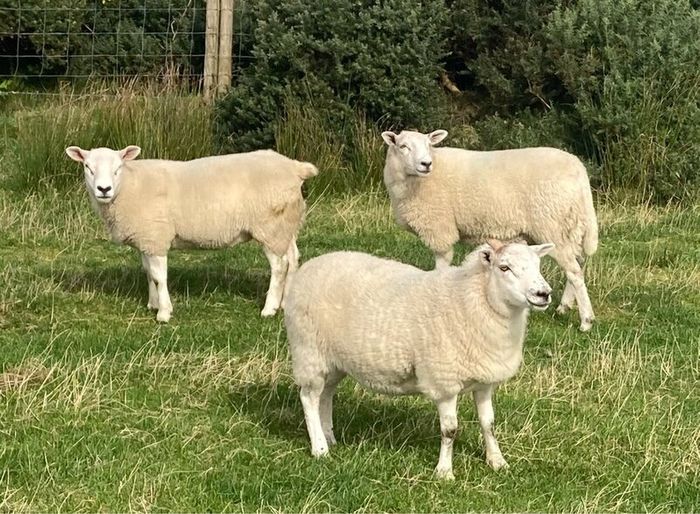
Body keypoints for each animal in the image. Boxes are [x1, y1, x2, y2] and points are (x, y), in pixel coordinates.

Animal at [65, 145, 317, 322]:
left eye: (117, 169)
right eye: (88, 167)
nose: (103, 189)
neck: (130, 184)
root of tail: (295, 168)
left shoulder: (156, 236)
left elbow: (159, 276)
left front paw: (164, 313)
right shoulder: (147, 238)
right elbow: (148, 272)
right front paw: (152, 304)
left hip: (270, 225)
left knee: (279, 266)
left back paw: (269, 308)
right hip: (286, 224)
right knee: (293, 258)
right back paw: (286, 303)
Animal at [284, 239, 554, 479]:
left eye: (538, 265)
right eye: (504, 267)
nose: (544, 294)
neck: (474, 300)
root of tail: (310, 266)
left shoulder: (485, 380)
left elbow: (489, 423)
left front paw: (497, 461)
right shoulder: (444, 381)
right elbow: (450, 430)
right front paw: (444, 472)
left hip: (333, 359)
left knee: (326, 394)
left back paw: (329, 436)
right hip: (308, 350)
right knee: (309, 397)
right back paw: (320, 448)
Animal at [382, 129, 598, 332]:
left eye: (429, 144)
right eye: (403, 146)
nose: (426, 163)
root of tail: (579, 170)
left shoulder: (439, 227)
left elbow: (442, 264)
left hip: (552, 224)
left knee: (574, 272)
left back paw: (586, 321)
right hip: (569, 226)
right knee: (577, 264)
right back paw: (564, 307)